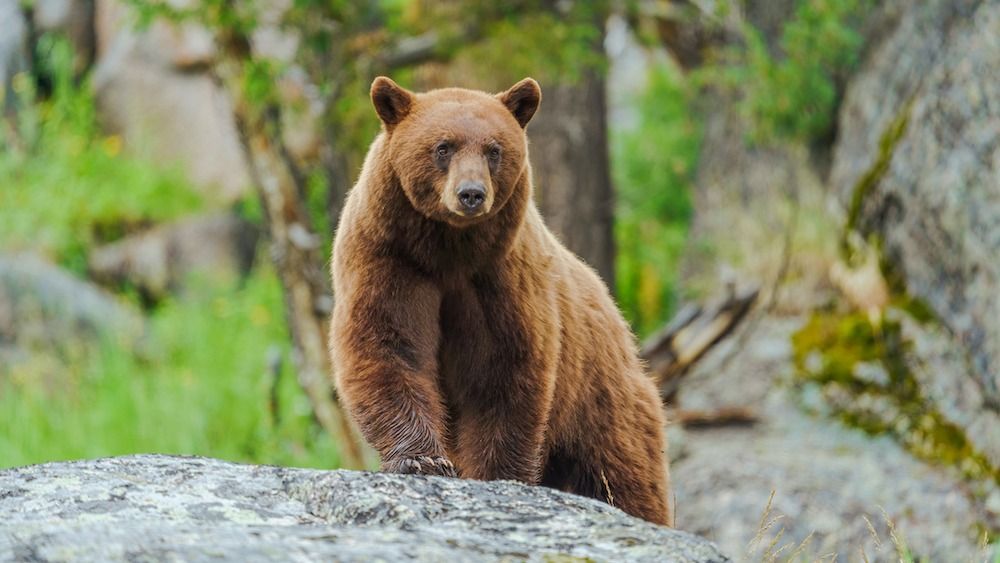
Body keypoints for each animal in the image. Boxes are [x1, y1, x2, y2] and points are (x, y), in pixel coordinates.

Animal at [330, 76, 672, 528]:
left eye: (494, 149)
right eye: (443, 147)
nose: (471, 194)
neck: (448, 250)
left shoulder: (501, 280)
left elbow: (502, 371)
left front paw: (497, 475)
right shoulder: (389, 260)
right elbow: (387, 346)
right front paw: (422, 460)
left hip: (602, 403)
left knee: (622, 476)